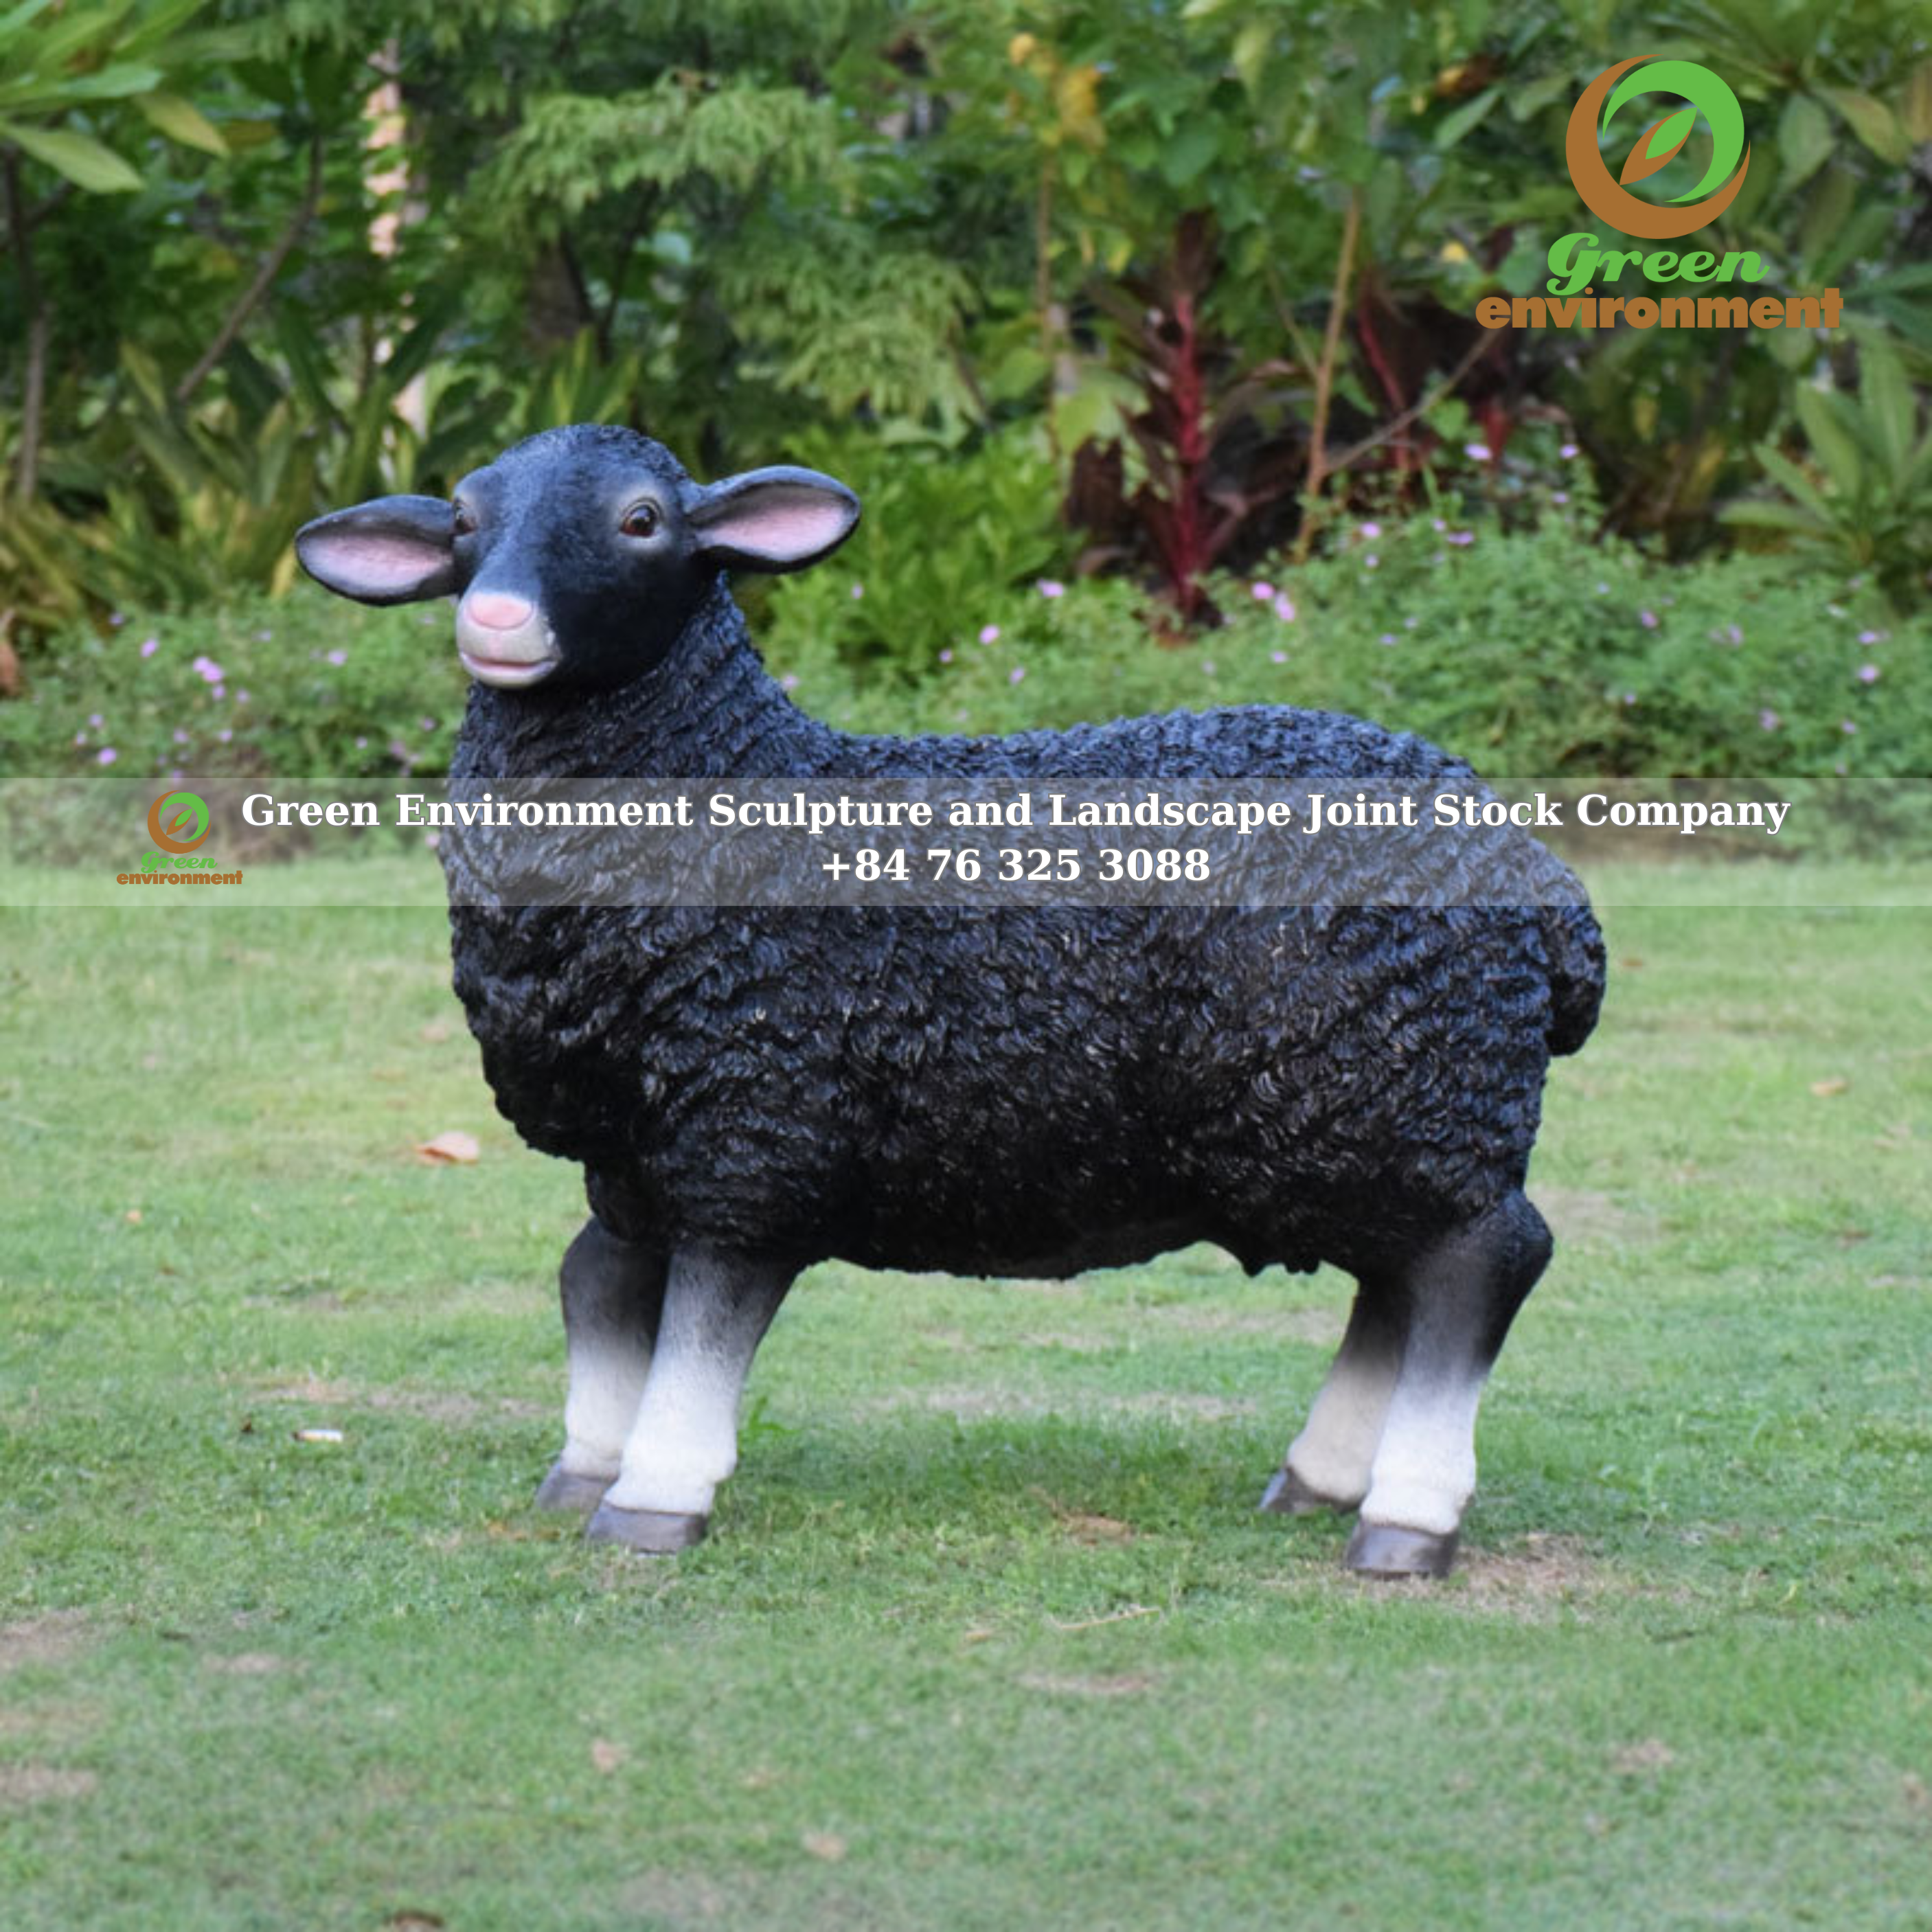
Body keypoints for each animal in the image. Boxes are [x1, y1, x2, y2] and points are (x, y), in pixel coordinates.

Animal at [295, 423, 1605, 1578]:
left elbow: (705, 1316)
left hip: (1396, 1076)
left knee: (1483, 1260)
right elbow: (598, 1283)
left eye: (642, 521)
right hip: (1369, 1101)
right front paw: (581, 1469)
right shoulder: (632, 1142)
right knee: (1400, 1278)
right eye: (464, 522)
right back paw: (1324, 1476)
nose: (495, 619)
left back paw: (1405, 1519)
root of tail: (1528, 866)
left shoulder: (754, 1119)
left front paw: (654, 1496)